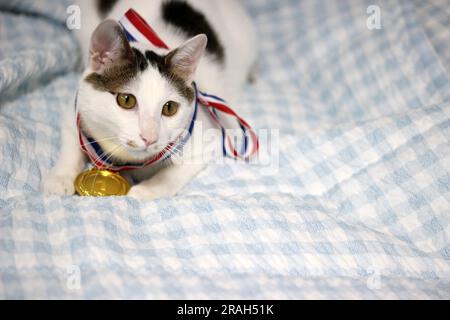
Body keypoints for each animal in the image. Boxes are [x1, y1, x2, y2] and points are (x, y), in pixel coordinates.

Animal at [43, 0, 260, 200]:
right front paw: (60, 177)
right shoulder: (76, 108)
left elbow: (173, 174)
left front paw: (148, 189)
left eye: (170, 108)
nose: (150, 138)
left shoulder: (208, 137)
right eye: (126, 100)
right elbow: (71, 141)